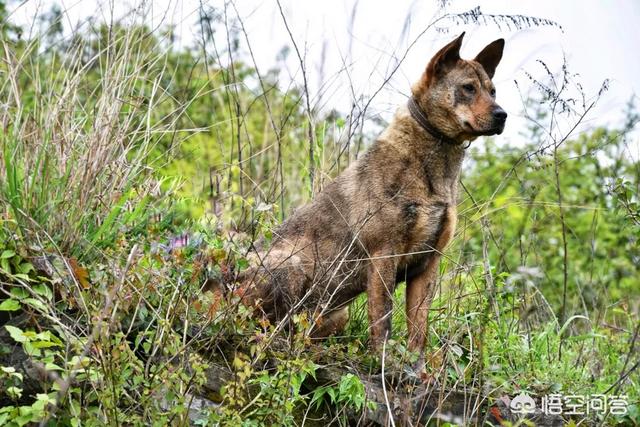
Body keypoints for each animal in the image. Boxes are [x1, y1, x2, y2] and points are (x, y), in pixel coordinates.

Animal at [212, 32, 508, 364]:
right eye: (468, 88)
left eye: (493, 91)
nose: (502, 115)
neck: (431, 165)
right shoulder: (383, 256)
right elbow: (382, 320)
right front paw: (383, 361)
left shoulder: (427, 264)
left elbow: (418, 329)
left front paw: (417, 368)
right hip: (293, 266)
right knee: (259, 324)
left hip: (334, 315)